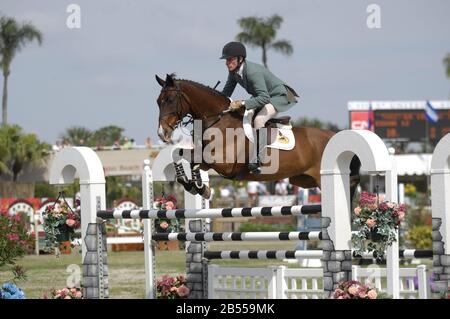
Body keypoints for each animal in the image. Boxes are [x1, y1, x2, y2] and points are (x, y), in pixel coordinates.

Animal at [156, 74, 360, 201]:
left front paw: (199, 187)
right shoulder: (207, 159)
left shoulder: (223, 163)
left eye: (170, 100)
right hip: (302, 180)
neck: (218, 119)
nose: (161, 133)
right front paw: (196, 186)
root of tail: (333, 135)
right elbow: (179, 154)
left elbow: (193, 160)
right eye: (158, 102)